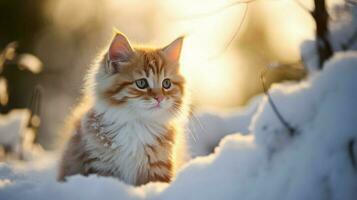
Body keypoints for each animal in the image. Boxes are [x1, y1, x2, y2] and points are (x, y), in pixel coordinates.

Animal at [57, 31, 189, 186]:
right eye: (141, 83)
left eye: (166, 83)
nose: (160, 98)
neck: (137, 124)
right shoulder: (99, 164)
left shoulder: (158, 168)